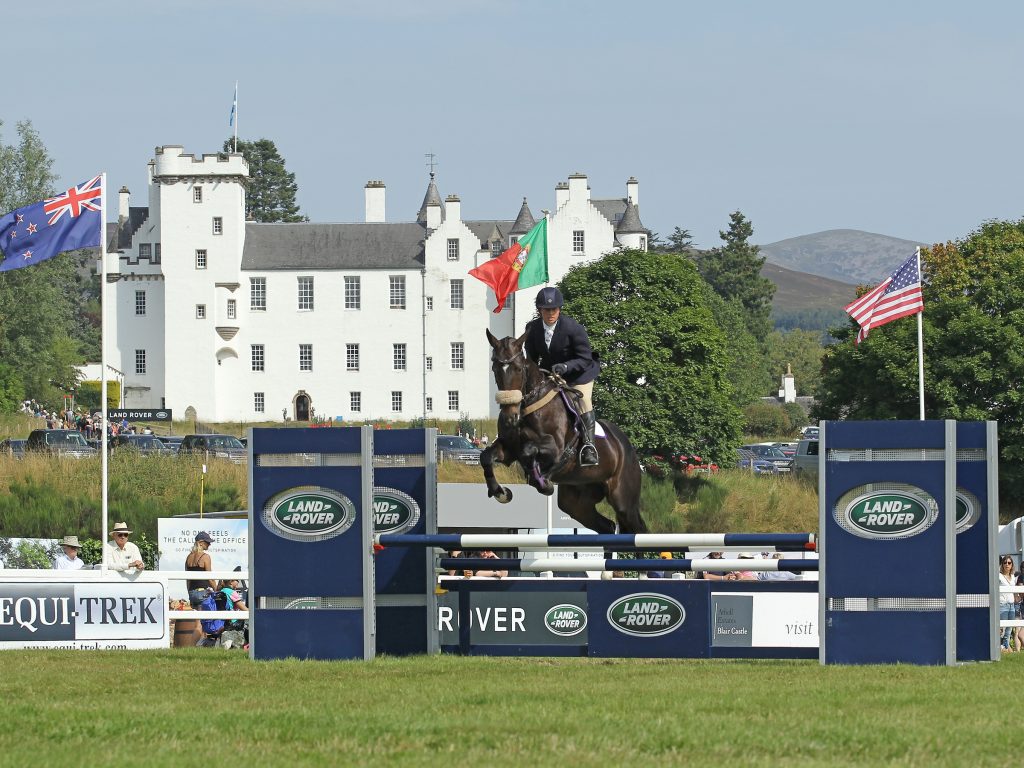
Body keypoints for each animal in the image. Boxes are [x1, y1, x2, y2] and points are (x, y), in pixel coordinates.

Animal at [481, 329, 647, 536]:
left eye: (518, 369)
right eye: (495, 369)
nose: (509, 418)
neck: (527, 409)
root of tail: (627, 446)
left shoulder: (557, 448)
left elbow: (529, 450)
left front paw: (542, 482)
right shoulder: (509, 450)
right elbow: (486, 457)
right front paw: (500, 493)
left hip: (623, 499)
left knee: (637, 526)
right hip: (576, 501)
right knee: (606, 526)